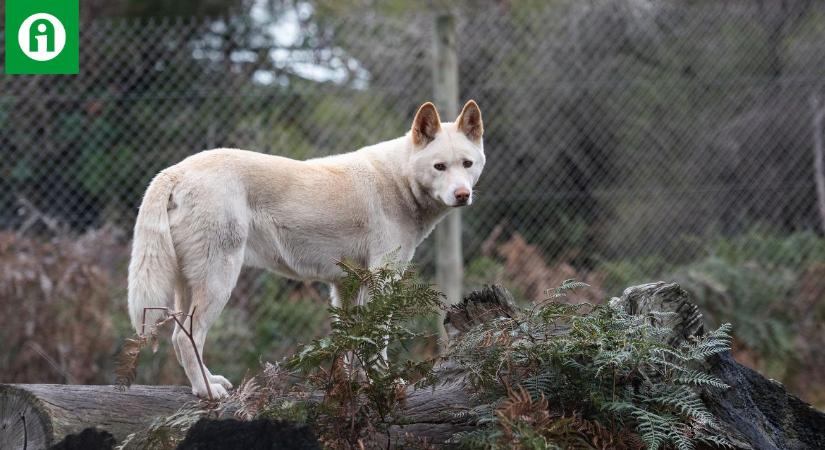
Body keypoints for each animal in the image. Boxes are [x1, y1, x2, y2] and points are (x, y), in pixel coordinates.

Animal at [127, 99, 482, 398]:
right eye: (439, 167)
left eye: (466, 164)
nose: (462, 195)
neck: (399, 180)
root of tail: (176, 170)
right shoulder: (381, 280)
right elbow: (376, 340)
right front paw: (382, 382)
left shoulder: (347, 285)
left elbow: (353, 344)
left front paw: (355, 386)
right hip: (219, 281)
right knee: (185, 337)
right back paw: (206, 391)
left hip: (188, 287)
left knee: (180, 338)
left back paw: (207, 382)